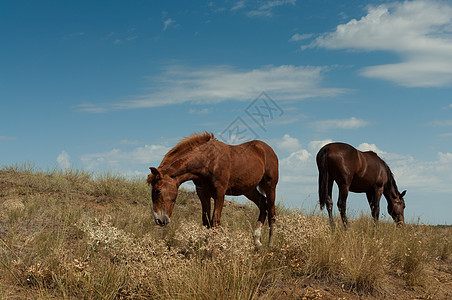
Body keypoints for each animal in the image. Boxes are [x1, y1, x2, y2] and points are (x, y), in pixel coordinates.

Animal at [147, 132, 278, 247]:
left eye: (158, 190)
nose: (159, 220)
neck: (208, 161)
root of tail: (267, 149)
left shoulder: (219, 193)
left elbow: (215, 221)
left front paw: (213, 253)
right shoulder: (203, 194)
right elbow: (206, 221)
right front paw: (206, 247)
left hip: (270, 186)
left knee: (271, 212)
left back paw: (271, 244)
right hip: (249, 190)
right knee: (263, 205)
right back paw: (257, 241)